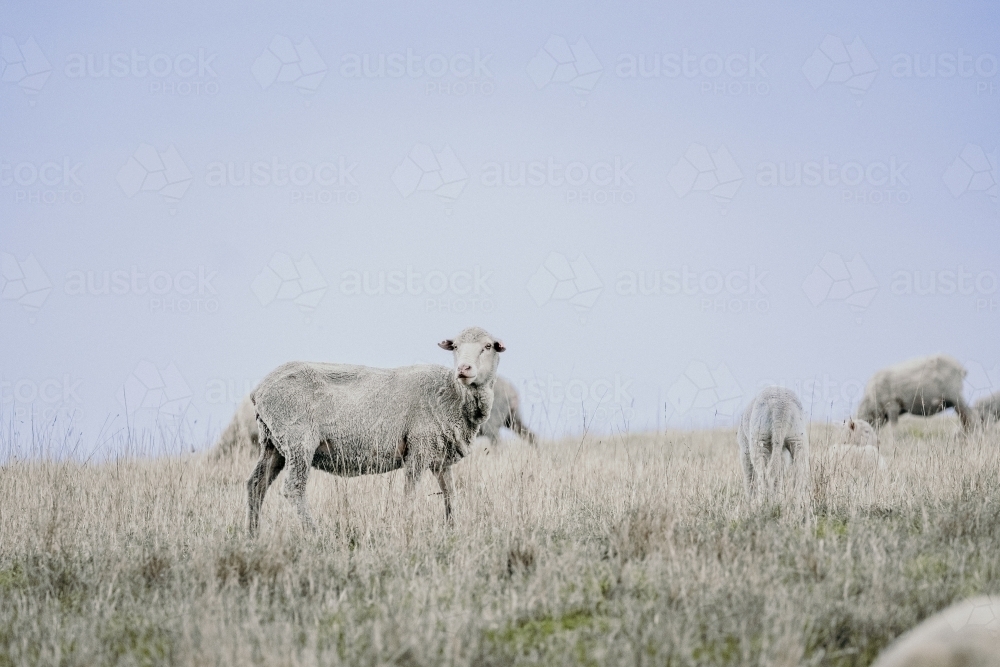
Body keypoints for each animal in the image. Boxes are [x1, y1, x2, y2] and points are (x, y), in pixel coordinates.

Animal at [246, 326, 505, 536]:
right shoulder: (419, 448)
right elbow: (410, 494)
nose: (464, 368)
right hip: (297, 440)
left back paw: (253, 536)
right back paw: (315, 534)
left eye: (487, 346)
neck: (454, 395)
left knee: (255, 485)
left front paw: (452, 531)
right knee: (293, 488)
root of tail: (259, 390)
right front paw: (406, 527)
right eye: (456, 347)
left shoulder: (441, 459)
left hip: (272, 444)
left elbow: (450, 495)